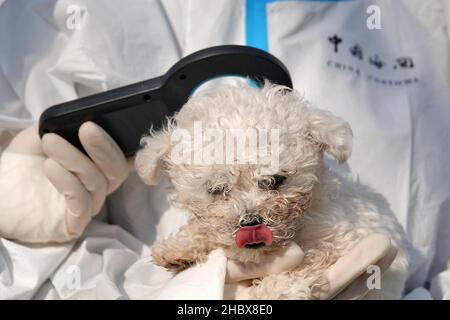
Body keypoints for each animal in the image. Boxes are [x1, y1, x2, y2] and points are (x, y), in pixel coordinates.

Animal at [134, 83, 408, 300]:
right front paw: (180, 247)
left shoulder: (347, 241)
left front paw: (275, 290)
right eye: (216, 189)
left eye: (275, 180)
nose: (250, 223)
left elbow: (312, 258)